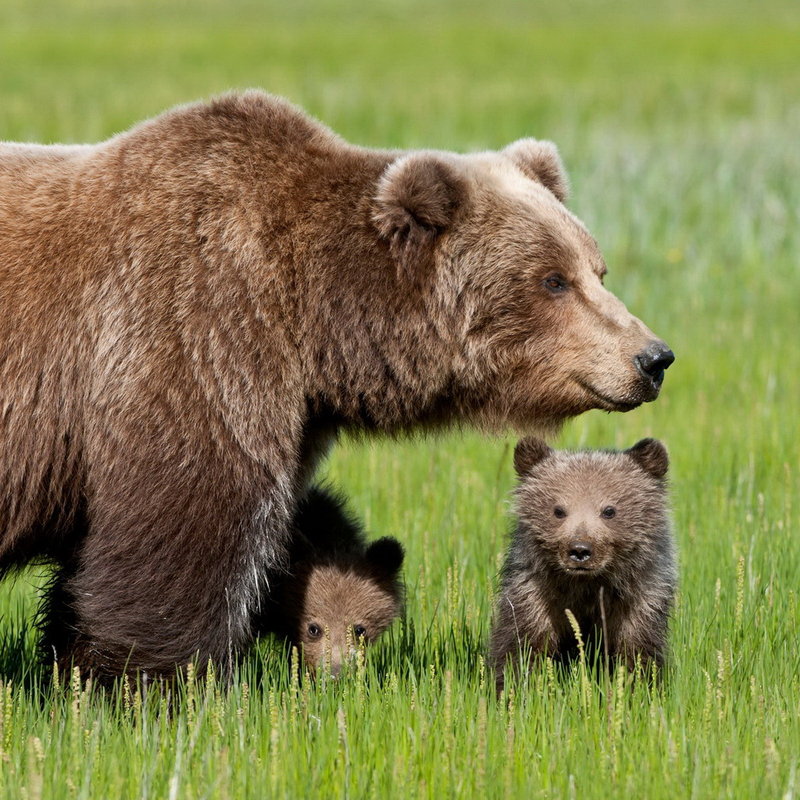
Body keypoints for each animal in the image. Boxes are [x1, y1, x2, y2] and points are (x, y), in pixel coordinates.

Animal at [0, 90, 676, 680]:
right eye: (553, 280)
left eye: (597, 270)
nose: (653, 357)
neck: (314, 320)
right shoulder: (191, 336)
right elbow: (182, 533)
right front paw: (158, 684)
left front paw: (73, 665)